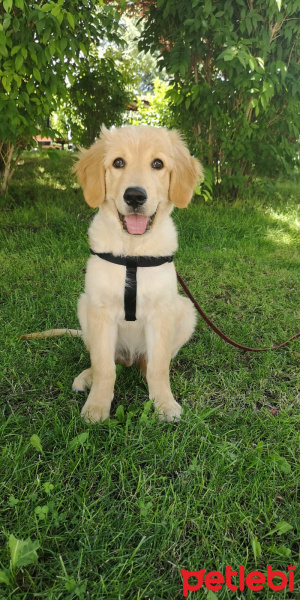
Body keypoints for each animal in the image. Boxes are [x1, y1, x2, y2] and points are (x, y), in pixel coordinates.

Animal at [72, 123, 202, 422]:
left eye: (158, 164)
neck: (132, 251)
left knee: (149, 361)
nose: (134, 196)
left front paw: (164, 403)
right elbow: (104, 366)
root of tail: (129, 357)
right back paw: (87, 377)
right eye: (118, 163)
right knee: (109, 361)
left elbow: (158, 366)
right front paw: (96, 406)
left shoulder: (162, 311)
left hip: (186, 311)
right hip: (84, 306)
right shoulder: (99, 310)